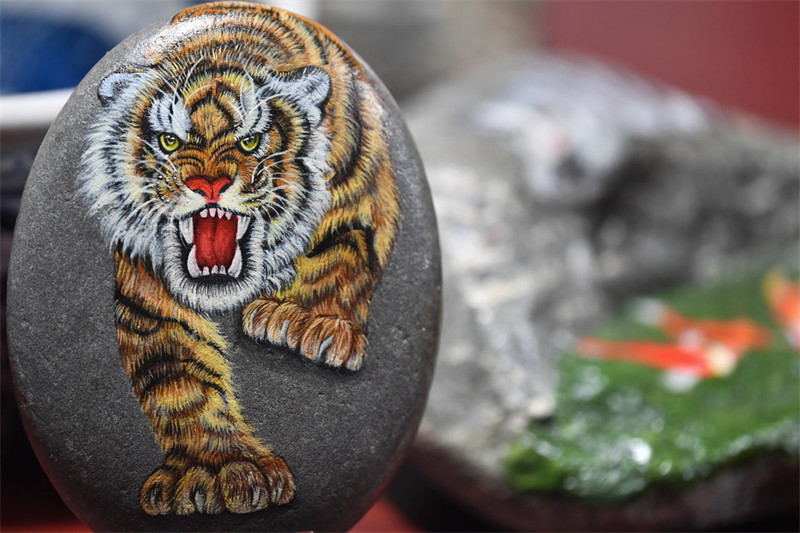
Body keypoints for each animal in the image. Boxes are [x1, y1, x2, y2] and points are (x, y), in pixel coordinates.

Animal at [77, 2, 399, 516]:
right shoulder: (149, 286)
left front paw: (306, 324)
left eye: (249, 143)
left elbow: (341, 256)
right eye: (170, 142)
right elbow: (181, 381)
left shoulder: (361, 195)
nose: (207, 185)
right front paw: (220, 470)